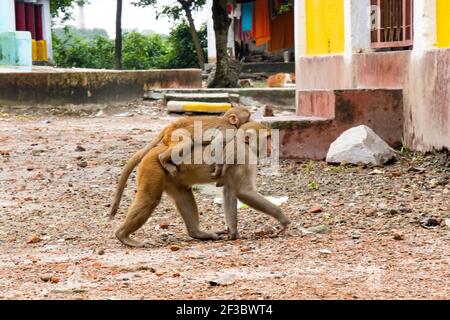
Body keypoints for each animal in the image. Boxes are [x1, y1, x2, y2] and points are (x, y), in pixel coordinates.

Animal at [110, 121, 290, 246]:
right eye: (267, 138)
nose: (272, 147)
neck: (243, 143)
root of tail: (156, 150)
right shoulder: (244, 157)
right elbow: (244, 192)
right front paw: (283, 219)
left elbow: (230, 192)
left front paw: (233, 233)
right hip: (153, 169)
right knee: (149, 200)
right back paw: (123, 236)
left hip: (172, 178)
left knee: (184, 195)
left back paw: (197, 233)